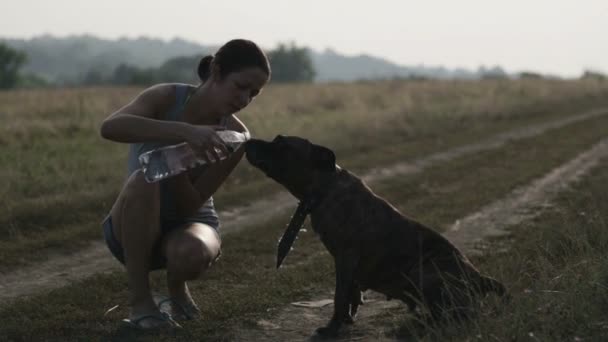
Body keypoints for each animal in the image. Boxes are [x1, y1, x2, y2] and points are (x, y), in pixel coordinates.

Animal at [245, 135, 506, 338]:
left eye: (281, 144)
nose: (248, 141)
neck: (324, 187)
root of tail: (479, 278)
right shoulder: (347, 264)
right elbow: (350, 293)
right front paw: (347, 318)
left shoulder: (346, 257)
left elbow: (339, 296)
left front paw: (332, 328)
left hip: (423, 271)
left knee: (456, 313)